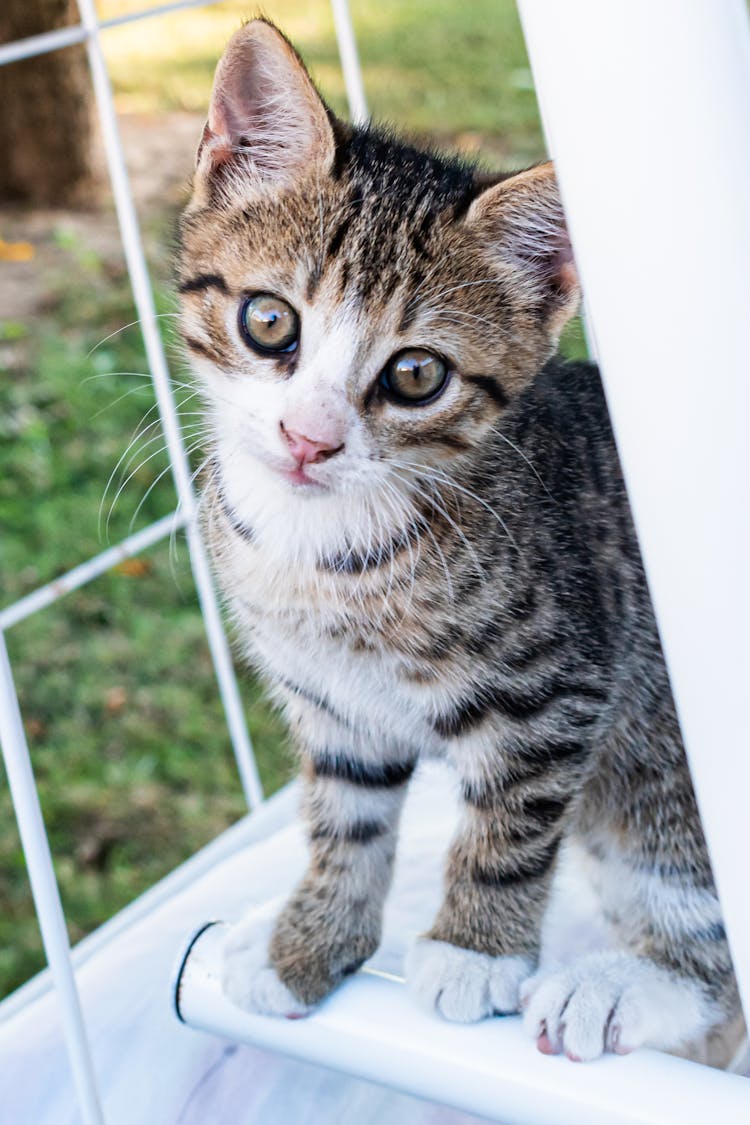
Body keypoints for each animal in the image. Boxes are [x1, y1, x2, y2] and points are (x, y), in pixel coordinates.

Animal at [177, 19, 746, 1062]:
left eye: (415, 375)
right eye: (268, 320)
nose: (309, 438)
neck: (319, 551)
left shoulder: (560, 684)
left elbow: (510, 824)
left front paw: (472, 952)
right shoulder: (335, 705)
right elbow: (345, 819)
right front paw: (308, 937)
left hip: (656, 774)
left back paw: (614, 989)